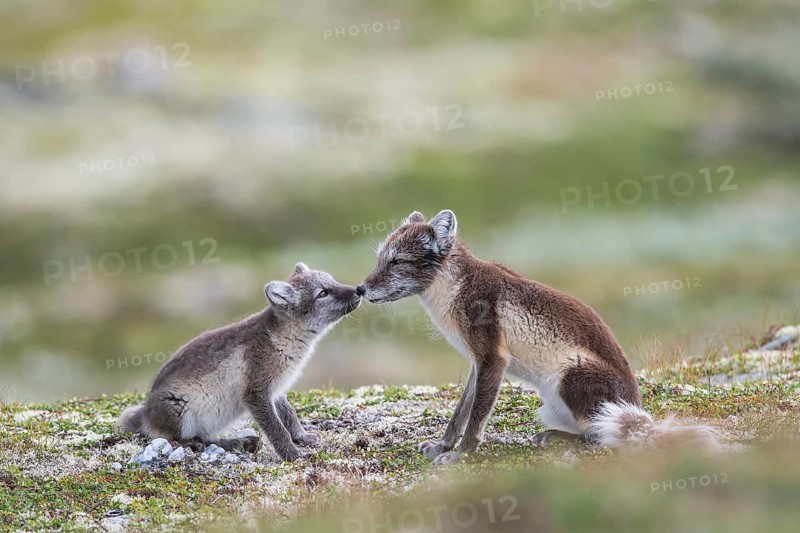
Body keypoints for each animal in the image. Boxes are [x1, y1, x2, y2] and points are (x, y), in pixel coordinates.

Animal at [117, 263, 361, 461]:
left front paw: (303, 437)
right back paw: (221, 443)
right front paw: (293, 455)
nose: (358, 290)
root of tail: (145, 414)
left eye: (332, 280)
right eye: (323, 293)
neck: (282, 339)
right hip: (179, 411)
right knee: (182, 439)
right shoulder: (255, 392)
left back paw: (242, 443)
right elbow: (277, 429)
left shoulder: (276, 389)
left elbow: (289, 415)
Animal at [357, 209, 716, 464]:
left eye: (397, 261)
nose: (360, 289)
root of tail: (636, 405)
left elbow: (476, 418)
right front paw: (443, 445)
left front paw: (462, 455)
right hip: (549, 404)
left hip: (571, 375)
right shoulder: (478, 362)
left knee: (601, 438)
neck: (454, 288)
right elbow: (461, 412)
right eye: (379, 258)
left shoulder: (492, 358)